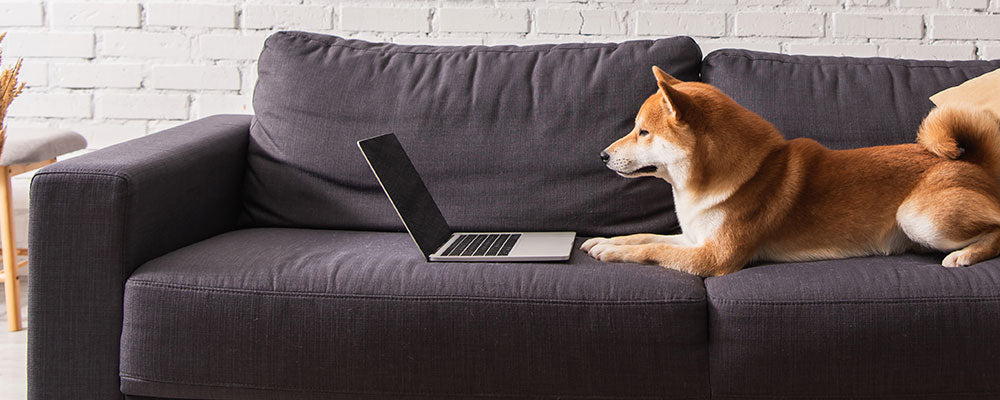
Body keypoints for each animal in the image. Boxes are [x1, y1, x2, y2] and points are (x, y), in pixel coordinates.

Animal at [584, 66, 1000, 278]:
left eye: (643, 132)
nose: (602, 155)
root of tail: (975, 164)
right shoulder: (695, 239)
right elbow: (644, 236)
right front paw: (606, 241)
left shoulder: (713, 257)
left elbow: (651, 249)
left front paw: (611, 252)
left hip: (918, 217)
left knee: (996, 229)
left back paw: (965, 256)